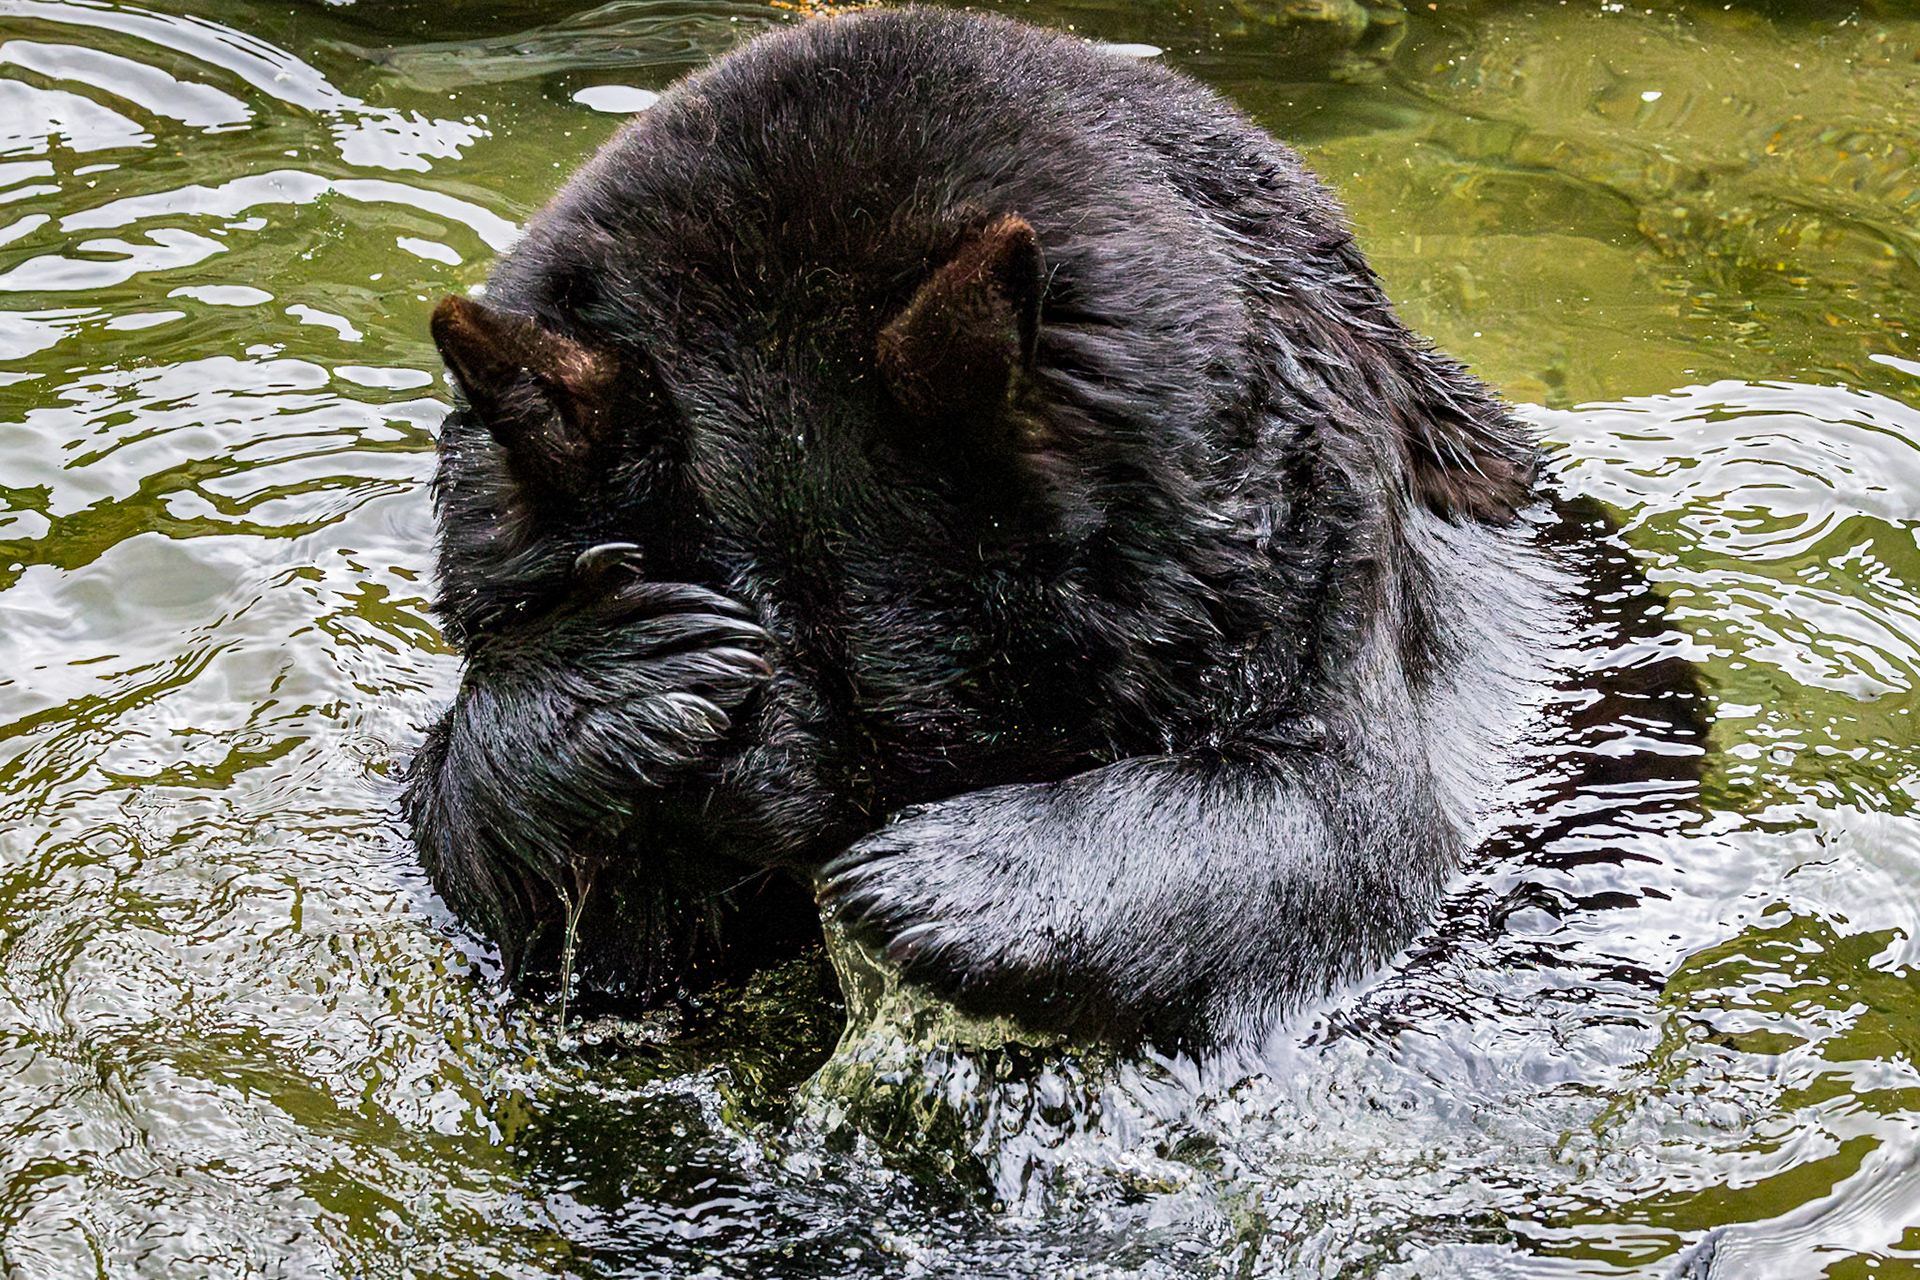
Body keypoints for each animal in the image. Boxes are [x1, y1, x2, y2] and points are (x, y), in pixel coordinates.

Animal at [402, 6, 1551, 1053]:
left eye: (966, 746)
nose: (828, 880)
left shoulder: (1322, 543)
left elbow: (1341, 811)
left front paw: (936, 879)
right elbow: (562, 923)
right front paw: (626, 669)